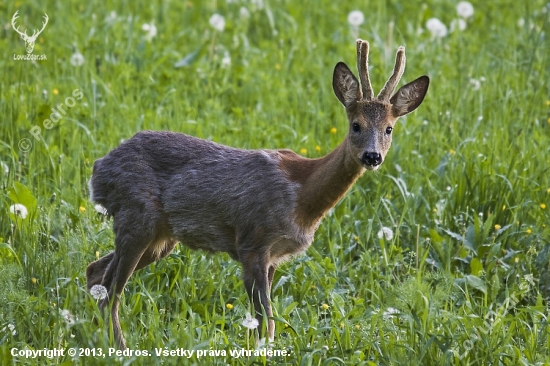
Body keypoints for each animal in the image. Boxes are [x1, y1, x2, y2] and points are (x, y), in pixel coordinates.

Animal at [86, 38, 432, 348]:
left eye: (389, 129)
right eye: (356, 125)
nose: (373, 156)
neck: (303, 198)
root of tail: (99, 170)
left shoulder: (274, 256)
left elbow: (266, 319)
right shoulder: (253, 242)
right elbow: (266, 318)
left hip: (161, 238)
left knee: (96, 273)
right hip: (137, 216)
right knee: (110, 291)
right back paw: (119, 348)